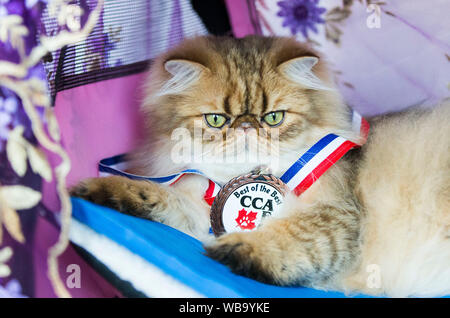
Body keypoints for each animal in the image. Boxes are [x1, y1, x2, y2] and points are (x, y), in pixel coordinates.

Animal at [70, 36, 450, 296]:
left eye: (273, 118)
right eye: (216, 119)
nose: (247, 128)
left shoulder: (336, 215)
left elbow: (285, 236)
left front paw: (233, 250)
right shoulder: (201, 207)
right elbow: (157, 197)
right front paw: (93, 190)